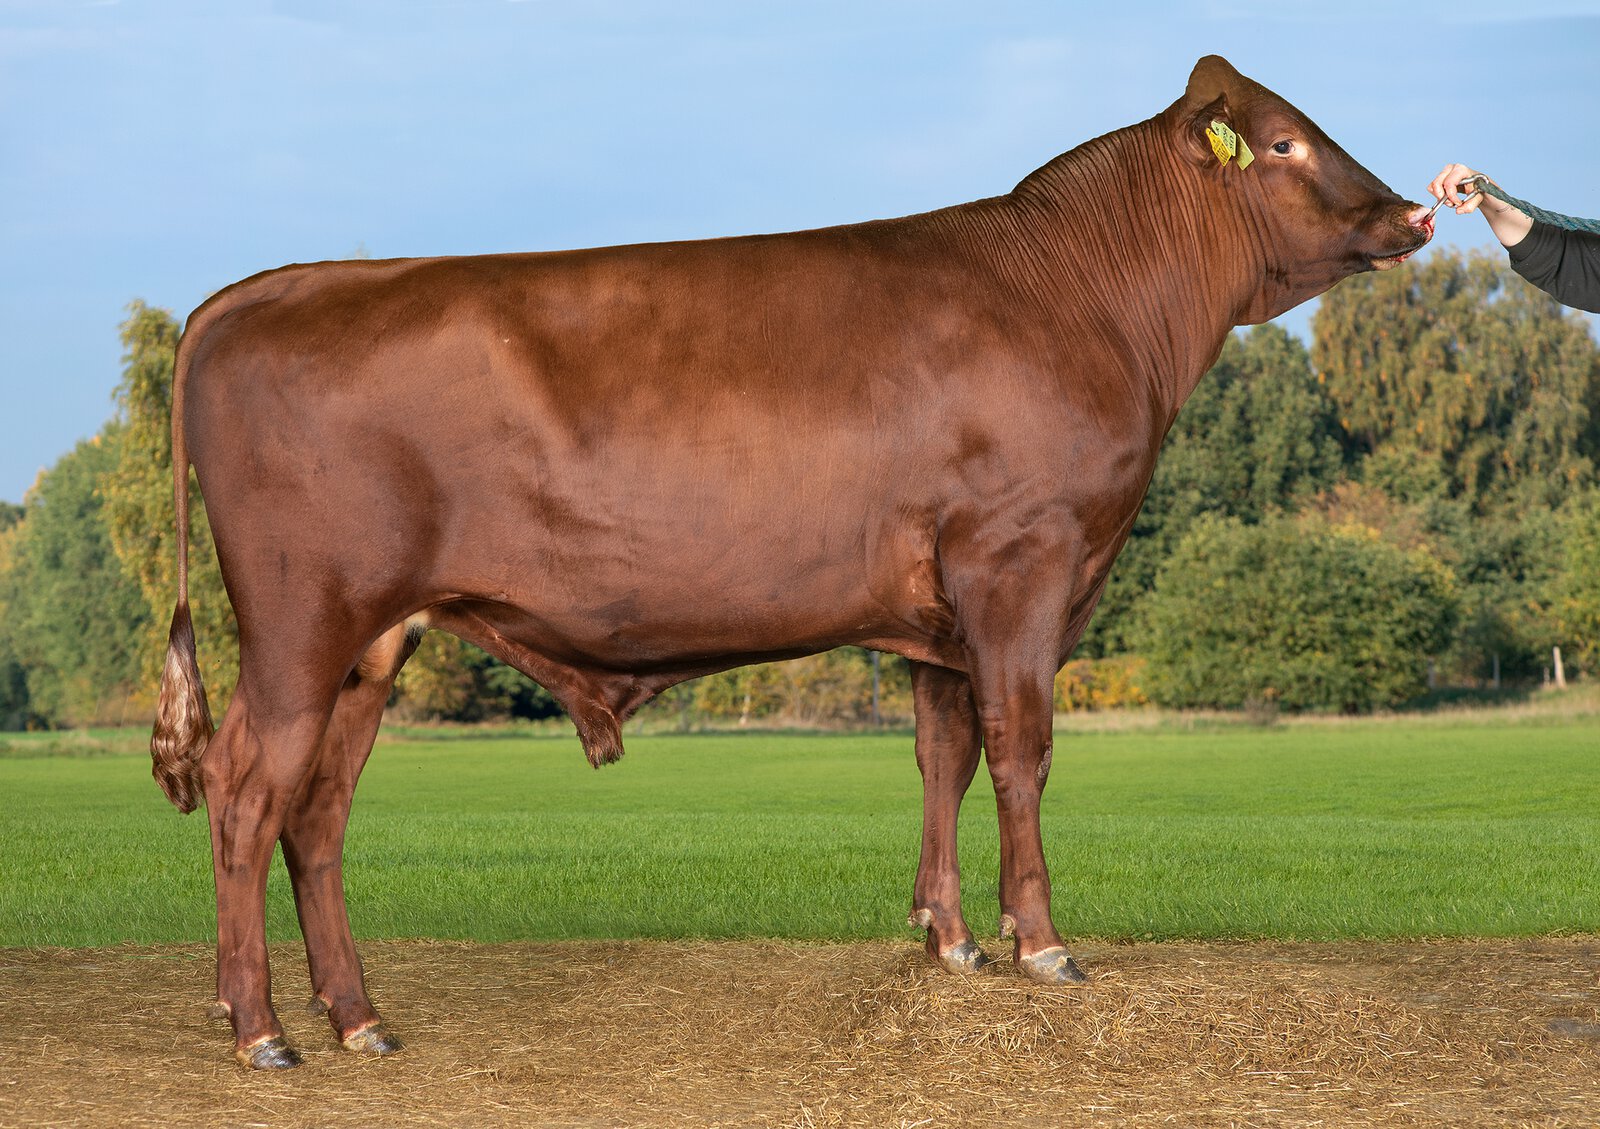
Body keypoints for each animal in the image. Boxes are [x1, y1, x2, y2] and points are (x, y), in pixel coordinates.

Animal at [151, 56, 1432, 1069]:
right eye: (1283, 141)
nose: (1413, 214)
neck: (1081, 296)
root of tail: (266, 289)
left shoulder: (940, 609)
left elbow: (941, 755)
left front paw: (950, 937)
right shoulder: (1021, 559)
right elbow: (1020, 749)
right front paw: (1043, 943)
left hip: (372, 640)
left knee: (316, 812)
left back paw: (356, 1017)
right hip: (300, 622)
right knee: (246, 789)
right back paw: (261, 1029)